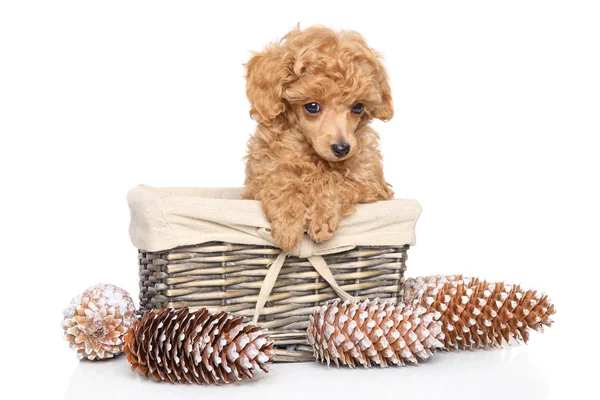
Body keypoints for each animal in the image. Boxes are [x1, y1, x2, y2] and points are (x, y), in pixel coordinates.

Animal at [241, 25, 396, 252]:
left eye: (358, 107)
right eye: (312, 107)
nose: (342, 148)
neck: (315, 157)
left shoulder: (371, 184)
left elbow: (338, 182)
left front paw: (322, 216)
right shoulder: (259, 179)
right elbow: (280, 181)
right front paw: (288, 227)